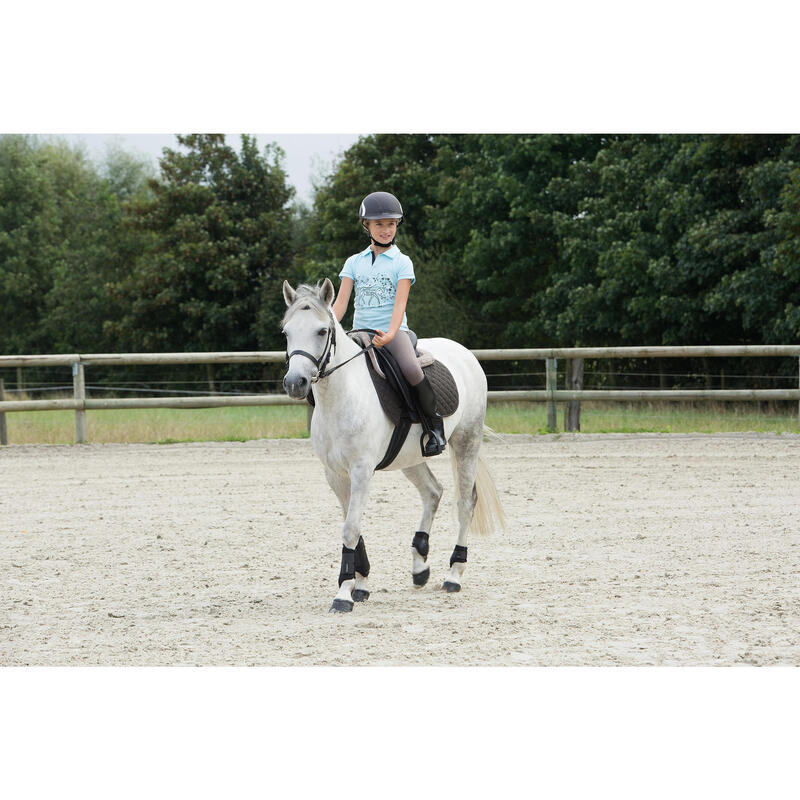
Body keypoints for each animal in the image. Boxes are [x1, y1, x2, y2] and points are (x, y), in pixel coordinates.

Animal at [282, 280, 506, 612]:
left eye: (322, 331)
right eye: (286, 332)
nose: (295, 383)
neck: (341, 396)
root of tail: (464, 352)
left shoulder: (361, 470)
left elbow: (350, 528)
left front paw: (343, 594)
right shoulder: (335, 474)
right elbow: (353, 526)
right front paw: (360, 584)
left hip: (467, 440)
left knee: (465, 502)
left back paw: (453, 575)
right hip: (410, 457)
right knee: (433, 491)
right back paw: (420, 565)